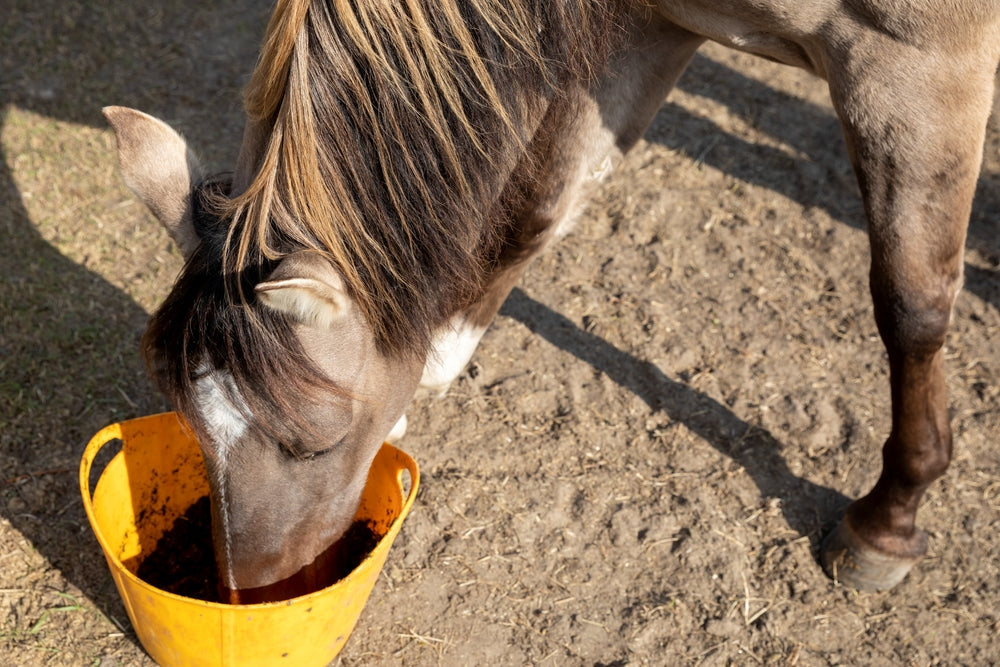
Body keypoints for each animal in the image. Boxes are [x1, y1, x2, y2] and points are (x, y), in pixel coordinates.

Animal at [103, 0, 999, 604]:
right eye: (187, 421)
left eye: (316, 443)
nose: (248, 594)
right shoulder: (658, 22)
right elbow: (537, 205)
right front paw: (435, 362)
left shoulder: (922, 64)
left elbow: (912, 299)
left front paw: (887, 522)